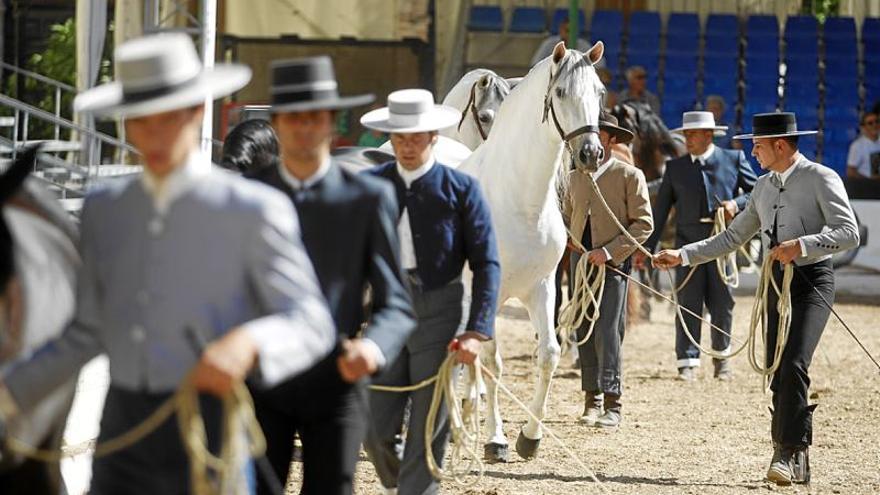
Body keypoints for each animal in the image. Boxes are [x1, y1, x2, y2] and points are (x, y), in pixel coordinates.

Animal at [460, 40, 604, 464]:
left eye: (600, 92)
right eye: (561, 92)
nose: (591, 154)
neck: (517, 199)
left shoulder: (542, 289)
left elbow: (549, 355)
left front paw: (529, 437)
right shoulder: (488, 294)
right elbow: (492, 362)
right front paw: (495, 440)